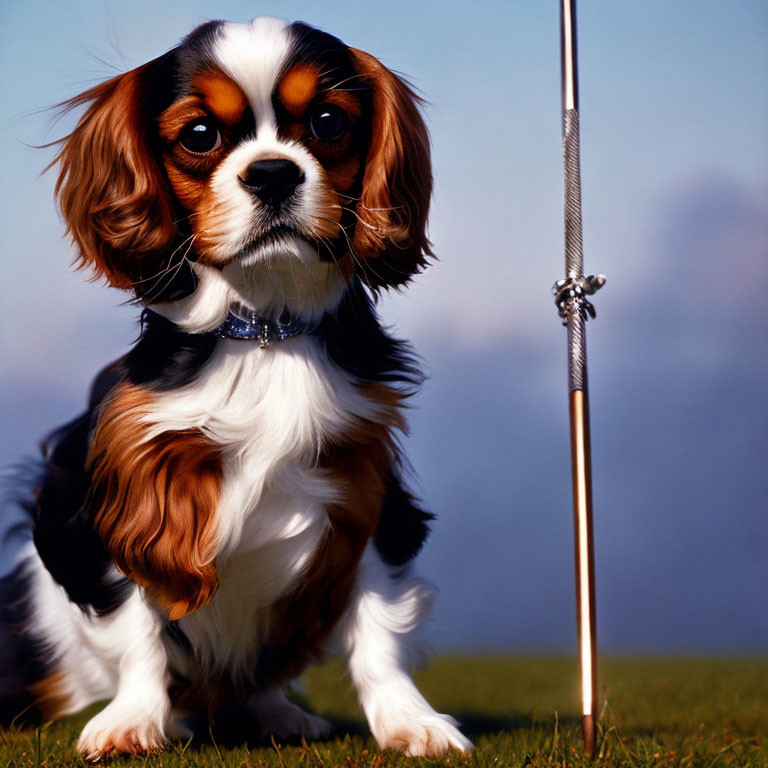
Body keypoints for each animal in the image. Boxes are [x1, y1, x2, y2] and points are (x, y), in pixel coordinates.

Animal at [0, 15, 474, 760]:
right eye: (199, 136)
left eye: (330, 123)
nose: (273, 171)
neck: (265, 329)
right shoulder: (122, 501)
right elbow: (137, 625)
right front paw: (132, 722)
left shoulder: (368, 493)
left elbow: (380, 629)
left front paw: (412, 723)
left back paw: (279, 714)